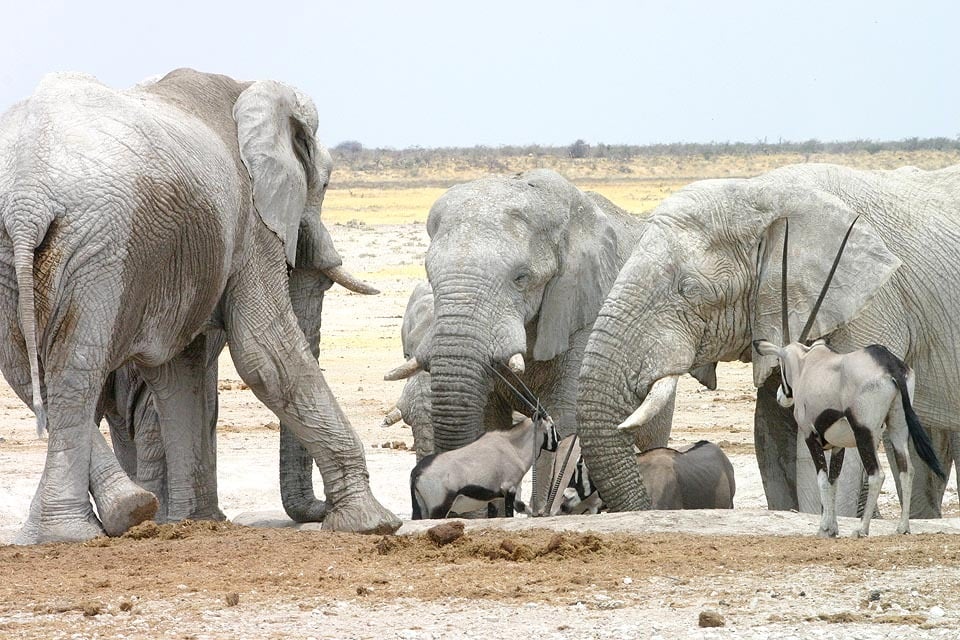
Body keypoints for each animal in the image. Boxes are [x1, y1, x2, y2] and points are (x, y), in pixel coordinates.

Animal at [0, 68, 400, 543]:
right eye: (325, 183)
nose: (318, 509)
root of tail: (26, 197)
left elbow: (179, 372)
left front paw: (194, 523)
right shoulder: (252, 219)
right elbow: (265, 353)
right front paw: (372, 523)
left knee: (27, 370)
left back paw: (96, 520)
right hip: (101, 244)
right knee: (75, 368)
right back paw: (79, 530)